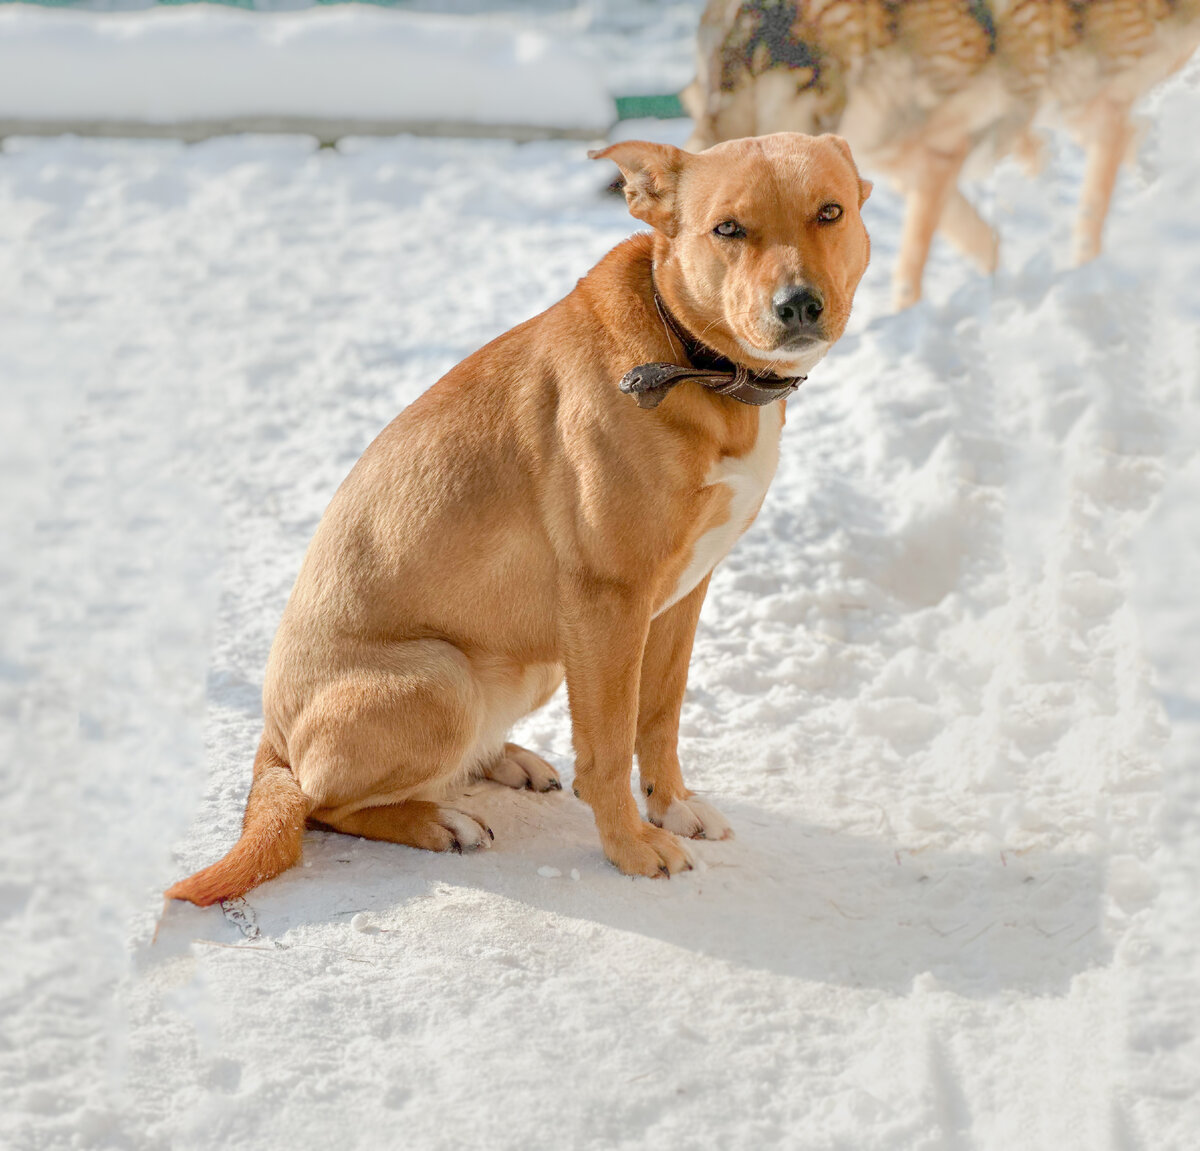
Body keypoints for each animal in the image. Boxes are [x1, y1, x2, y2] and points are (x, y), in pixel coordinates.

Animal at [166, 132, 873, 907]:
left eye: (830, 212)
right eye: (728, 229)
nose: (799, 305)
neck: (692, 357)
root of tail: (270, 742)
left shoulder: (682, 594)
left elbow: (660, 716)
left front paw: (672, 805)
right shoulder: (609, 602)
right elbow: (609, 746)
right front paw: (631, 845)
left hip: (536, 661)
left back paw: (501, 758)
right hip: (444, 677)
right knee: (320, 804)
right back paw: (438, 819)